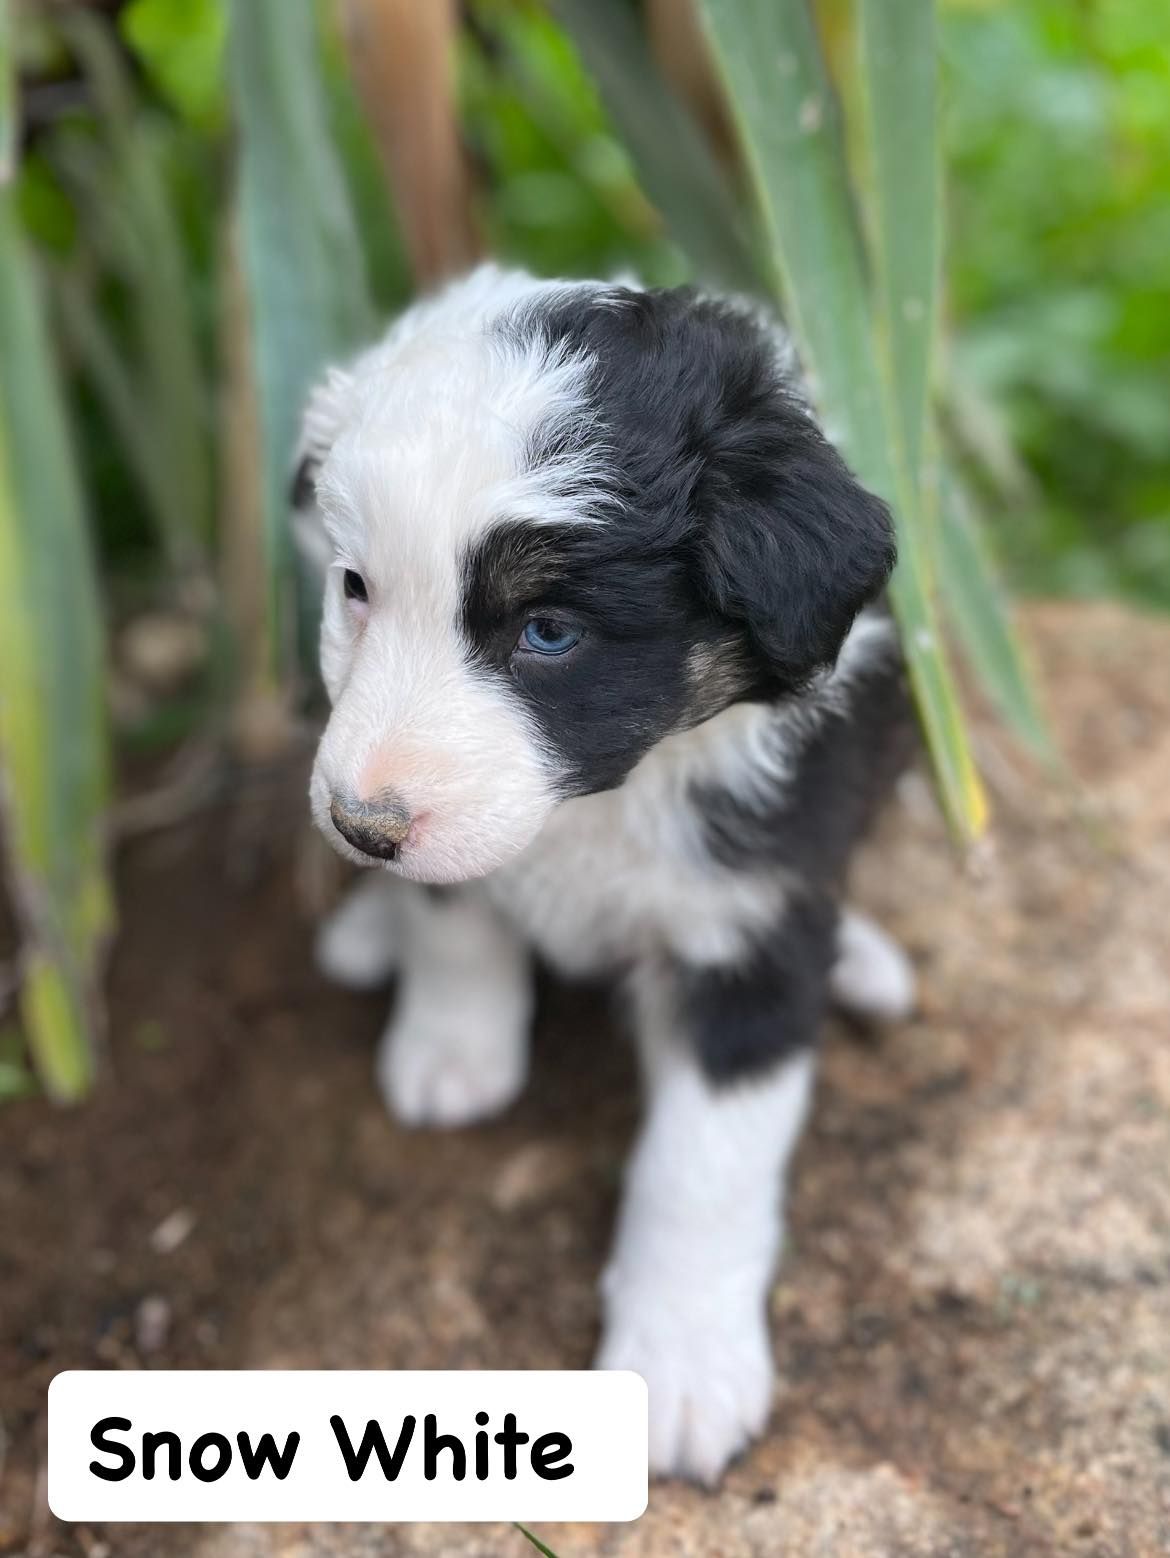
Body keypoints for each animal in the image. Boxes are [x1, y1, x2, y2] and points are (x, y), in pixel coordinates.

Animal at [292, 264, 917, 1485]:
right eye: (355, 589)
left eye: (547, 631)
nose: (359, 826)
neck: (603, 804)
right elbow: (457, 920)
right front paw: (452, 1052)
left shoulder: (750, 928)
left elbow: (704, 1165)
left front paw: (681, 1370)